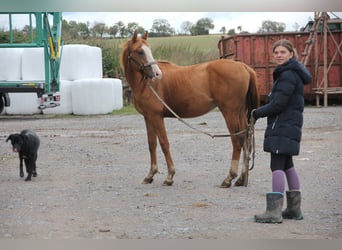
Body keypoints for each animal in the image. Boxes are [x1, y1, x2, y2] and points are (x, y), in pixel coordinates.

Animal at [121, 30, 260, 188]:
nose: (157, 74)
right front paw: (150, 175)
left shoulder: (156, 116)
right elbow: (152, 144)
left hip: (230, 113)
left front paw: (170, 176)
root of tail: (243, 67)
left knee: (237, 141)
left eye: (148, 50)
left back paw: (229, 177)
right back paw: (242, 178)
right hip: (240, 113)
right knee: (246, 140)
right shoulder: (148, 117)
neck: (145, 84)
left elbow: (164, 143)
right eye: (140, 51)